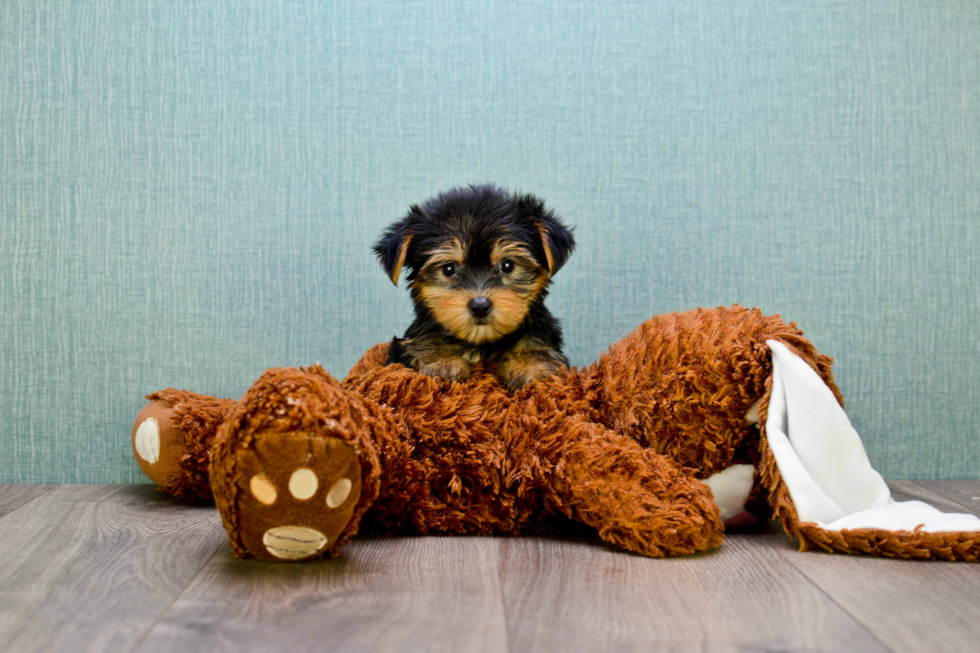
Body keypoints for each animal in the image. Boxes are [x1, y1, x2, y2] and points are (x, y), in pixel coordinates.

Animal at [374, 183, 576, 390]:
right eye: (448, 269)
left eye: (507, 265)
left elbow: (534, 339)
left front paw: (528, 364)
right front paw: (441, 362)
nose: (480, 306)